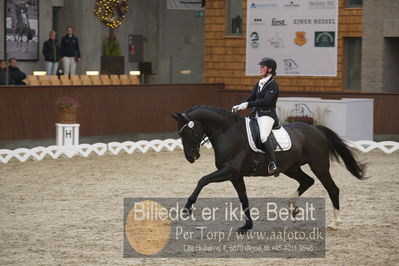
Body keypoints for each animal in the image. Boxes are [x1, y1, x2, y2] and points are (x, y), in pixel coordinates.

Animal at [170, 105, 368, 232]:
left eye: (187, 132)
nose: (190, 157)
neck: (227, 132)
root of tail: (317, 130)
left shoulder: (230, 171)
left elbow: (202, 180)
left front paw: (187, 209)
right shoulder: (235, 176)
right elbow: (243, 199)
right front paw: (247, 226)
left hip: (319, 165)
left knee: (332, 189)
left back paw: (335, 223)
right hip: (291, 168)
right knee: (307, 181)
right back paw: (292, 208)